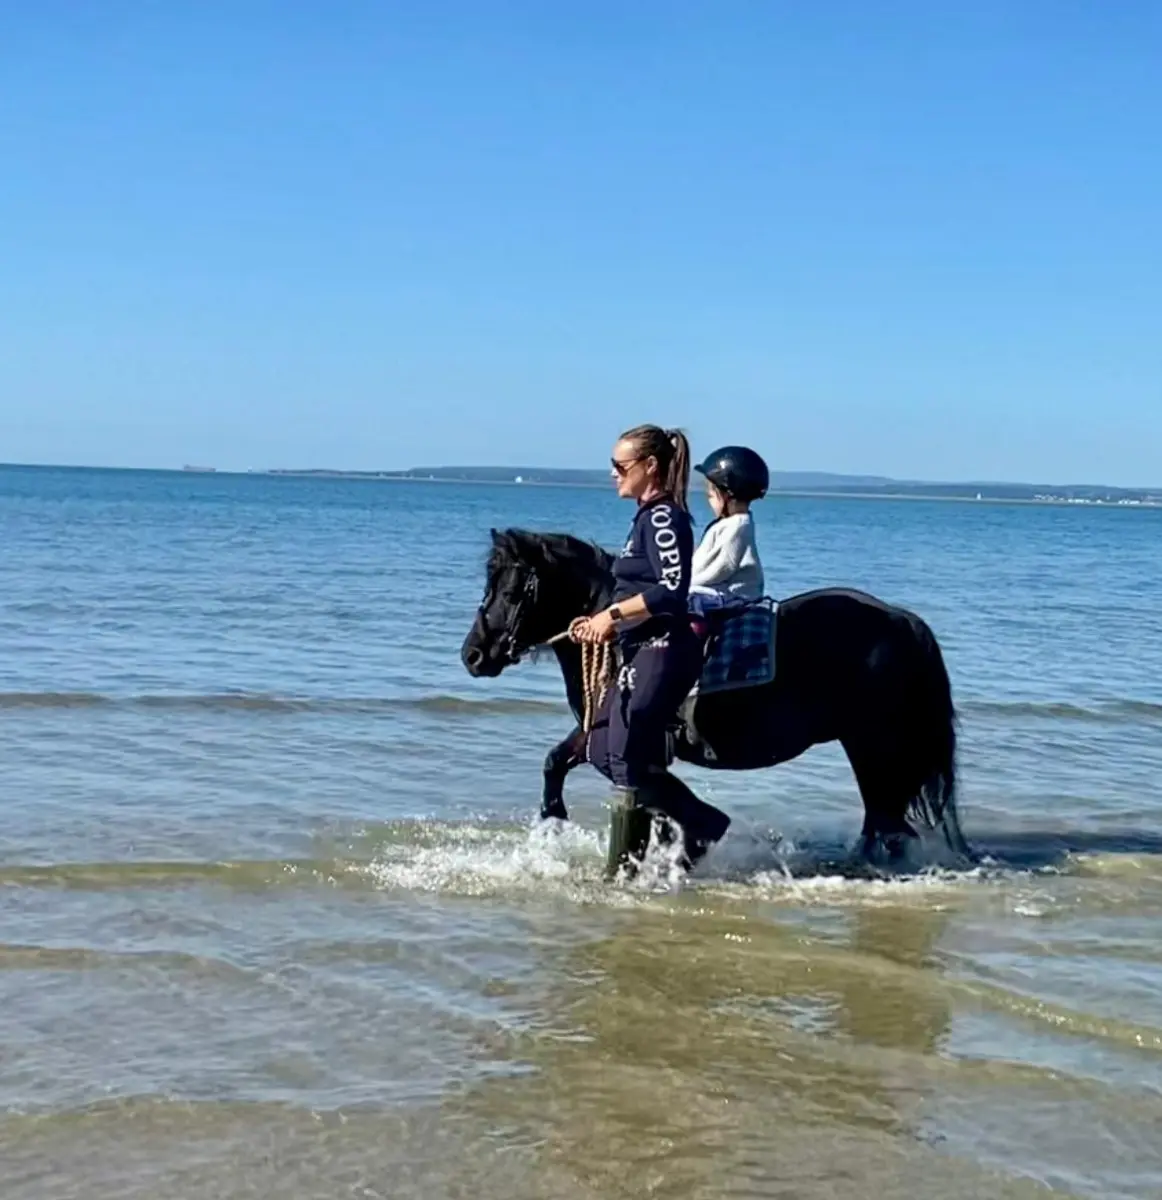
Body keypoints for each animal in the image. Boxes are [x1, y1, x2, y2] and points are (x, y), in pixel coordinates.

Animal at [461, 527, 973, 869]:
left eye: (511, 591)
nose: (473, 654)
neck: (621, 632)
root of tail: (903, 621)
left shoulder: (623, 736)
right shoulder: (605, 734)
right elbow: (559, 763)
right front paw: (554, 822)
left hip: (873, 747)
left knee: (889, 825)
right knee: (883, 824)